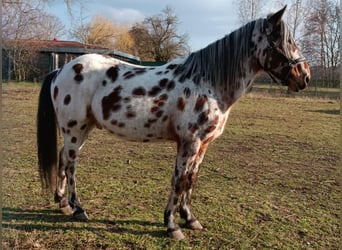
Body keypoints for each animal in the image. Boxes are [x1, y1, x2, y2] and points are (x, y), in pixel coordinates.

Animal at [37, 6, 310, 240]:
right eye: (285, 41)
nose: (305, 76)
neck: (207, 83)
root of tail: (61, 70)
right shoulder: (189, 142)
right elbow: (178, 180)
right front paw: (172, 225)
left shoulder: (202, 145)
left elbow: (191, 179)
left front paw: (190, 219)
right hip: (74, 129)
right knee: (71, 165)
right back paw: (78, 209)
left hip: (83, 130)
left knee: (63, 159)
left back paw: (62, 203)